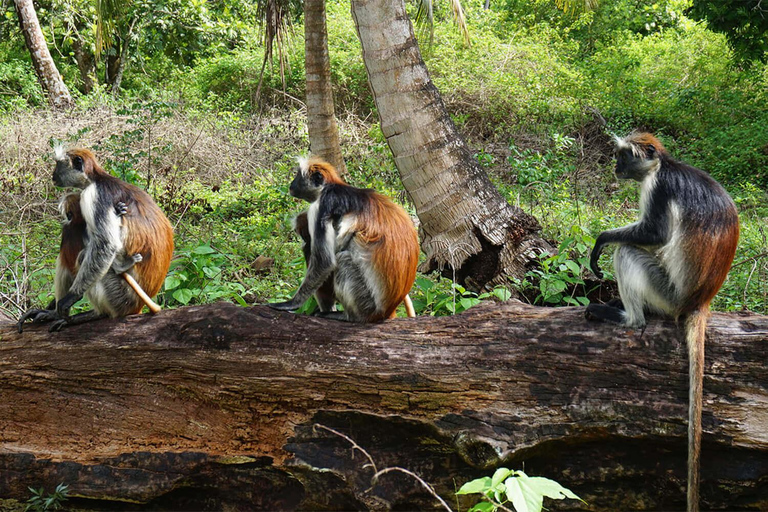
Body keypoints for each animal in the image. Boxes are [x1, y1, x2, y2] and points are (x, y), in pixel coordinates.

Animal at [17, 148, 174, 332]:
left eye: (58, 165)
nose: (53, 175)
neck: (98, 178)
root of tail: (139, 305)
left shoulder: (93, 196)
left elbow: (106, 244)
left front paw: (71, 297)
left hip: (121, 297)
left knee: (82, 252)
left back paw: (96, 314)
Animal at [268, 158, 416, 322]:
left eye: (298, 176)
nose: (291, 185)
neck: (333, 186)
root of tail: (387, 311)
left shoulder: (322, 205)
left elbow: (324, 262)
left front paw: (291, 303)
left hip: (366, 304)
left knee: (340, 259)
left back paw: (346, 315)